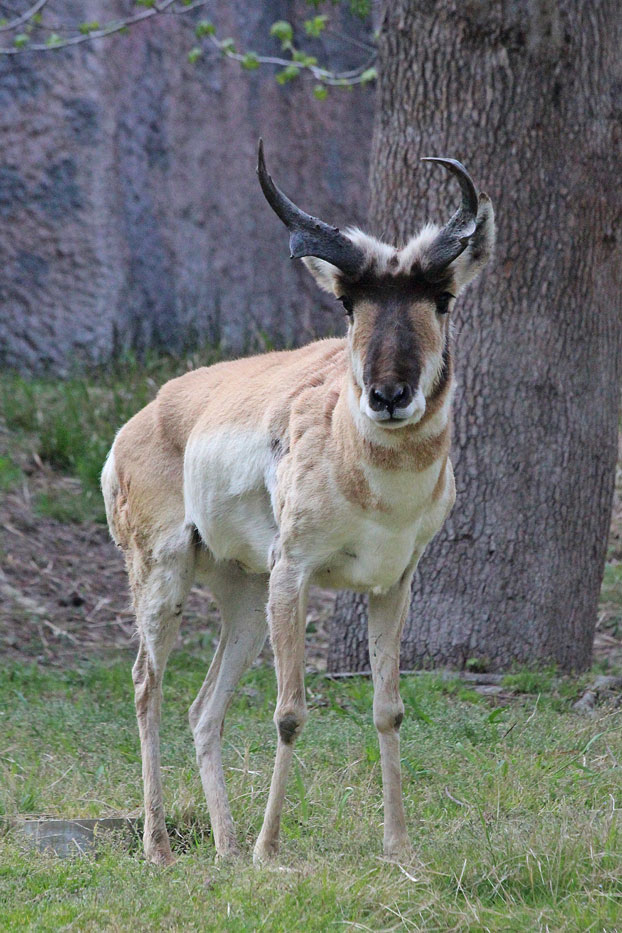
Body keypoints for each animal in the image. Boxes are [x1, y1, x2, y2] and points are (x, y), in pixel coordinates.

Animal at [102, 140, 498, 868]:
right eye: (347, 302)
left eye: (442, 296)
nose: (389, 394)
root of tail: (144, 418)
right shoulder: (297, 574)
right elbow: (289, 712)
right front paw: (271, 850)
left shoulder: (392, 584)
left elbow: (388, 707)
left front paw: (399, 847)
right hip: (165, 579)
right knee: (147, 683)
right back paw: (163, 848)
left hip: (245, 599)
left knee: (204, 707)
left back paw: (226, 849)